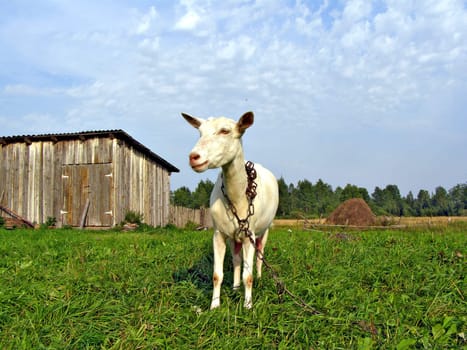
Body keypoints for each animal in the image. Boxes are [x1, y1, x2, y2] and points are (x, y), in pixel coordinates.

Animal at [182, 110, 278, 308]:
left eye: (225, 131)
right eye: (200, 132)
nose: (194, 157)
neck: (238, 197)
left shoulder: (250, 233)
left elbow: (248, 276)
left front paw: (248, 306)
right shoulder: (219, 233)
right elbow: (217, 275)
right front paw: (214, 306)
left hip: (264, 229)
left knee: (260, 255)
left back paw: (259, 278)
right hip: (235, 234)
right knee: (236, 260)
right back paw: (235, 287)